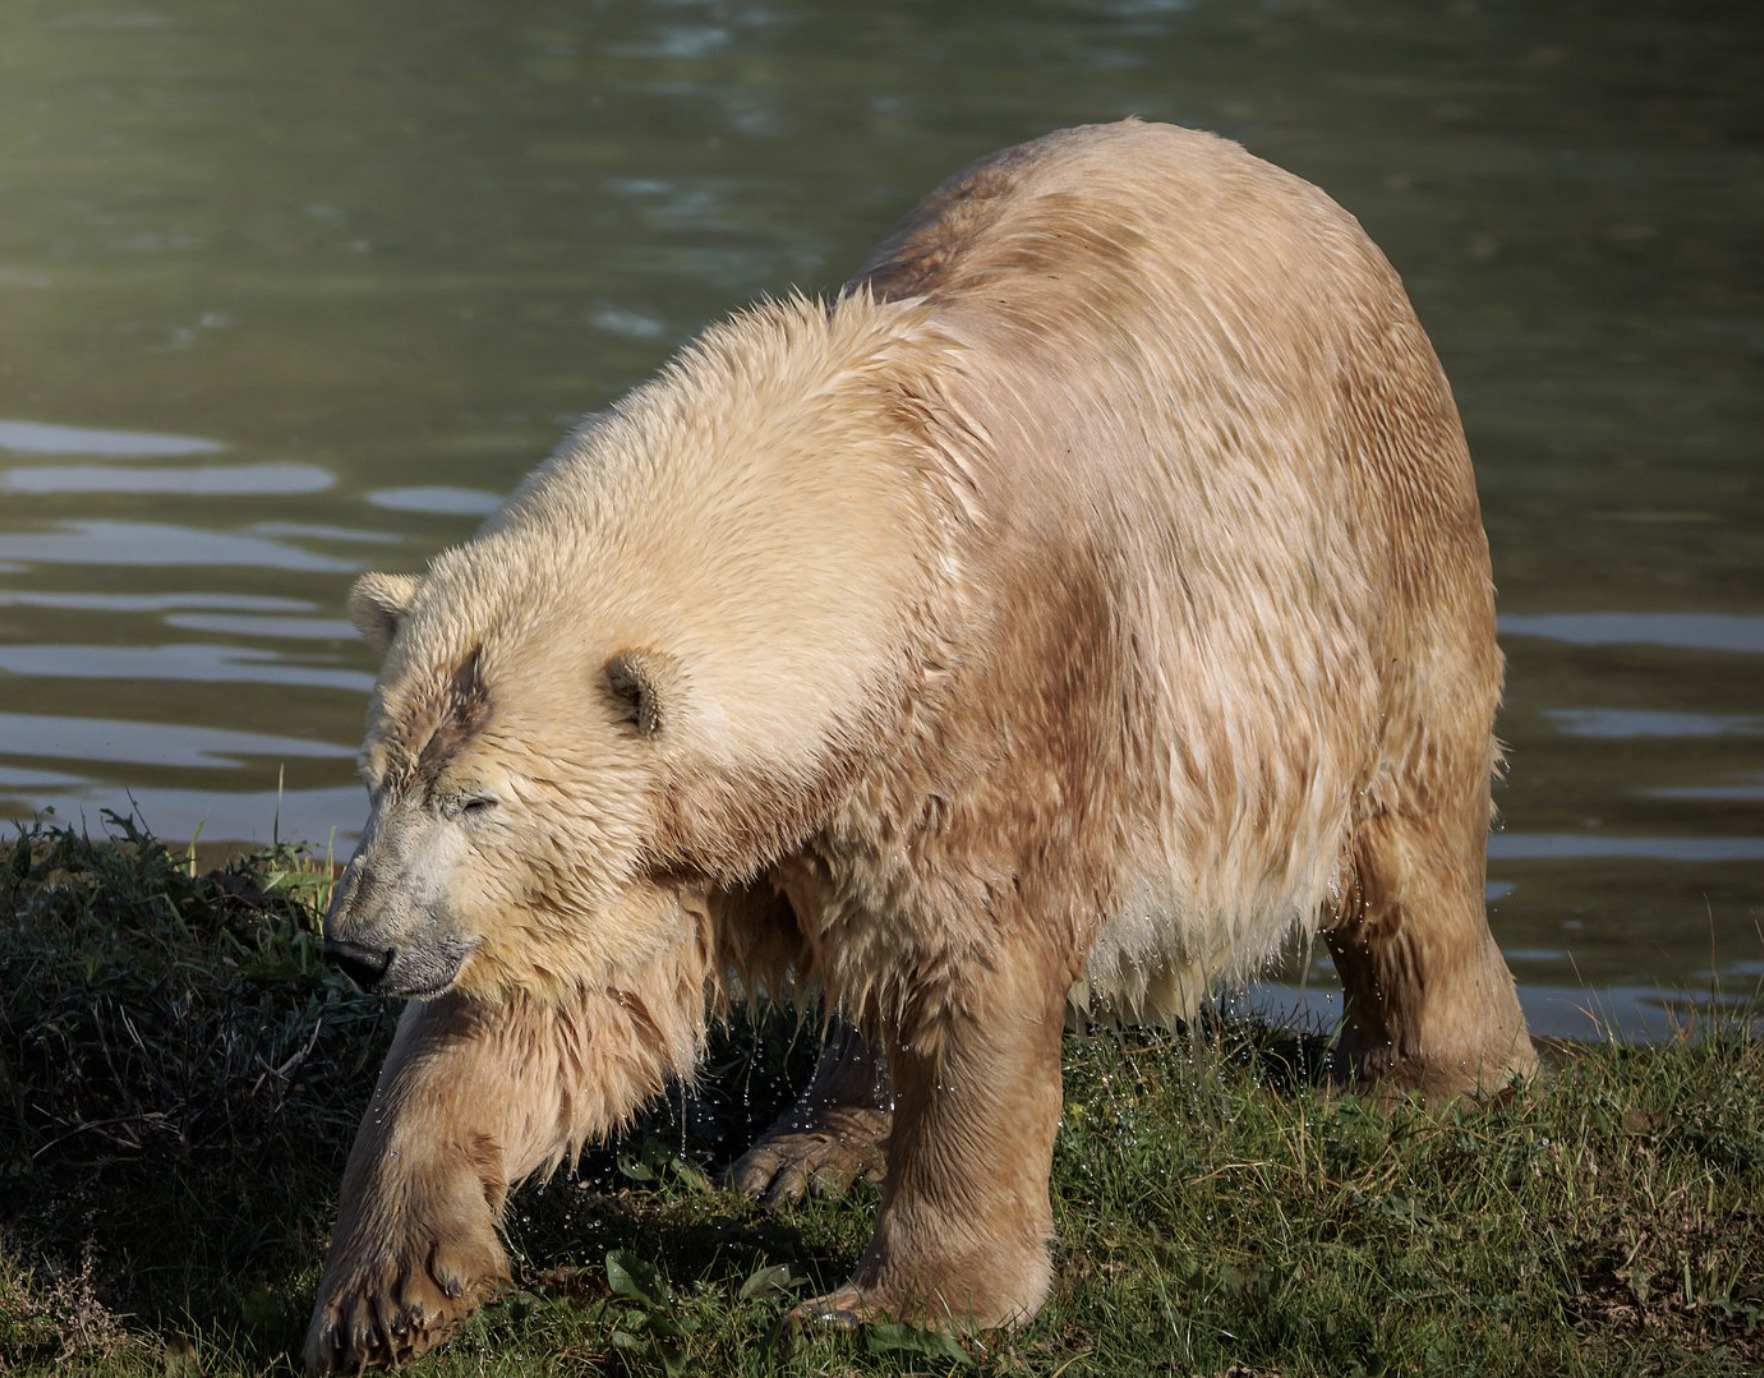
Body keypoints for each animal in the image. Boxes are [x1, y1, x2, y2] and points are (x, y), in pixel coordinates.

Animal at [299, 115, 1531, 1362]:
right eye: (379, 777)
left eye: (479, 799)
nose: (360, 947)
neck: (880, 483)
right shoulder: (708, 833)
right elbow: (553, 1006)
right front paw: (396, 1283)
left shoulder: (994, 708)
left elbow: (971, 973)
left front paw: (912, 1299)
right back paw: (804, 1149)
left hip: (1376, 547)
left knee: (1412, 832)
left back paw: (1439, 1072)